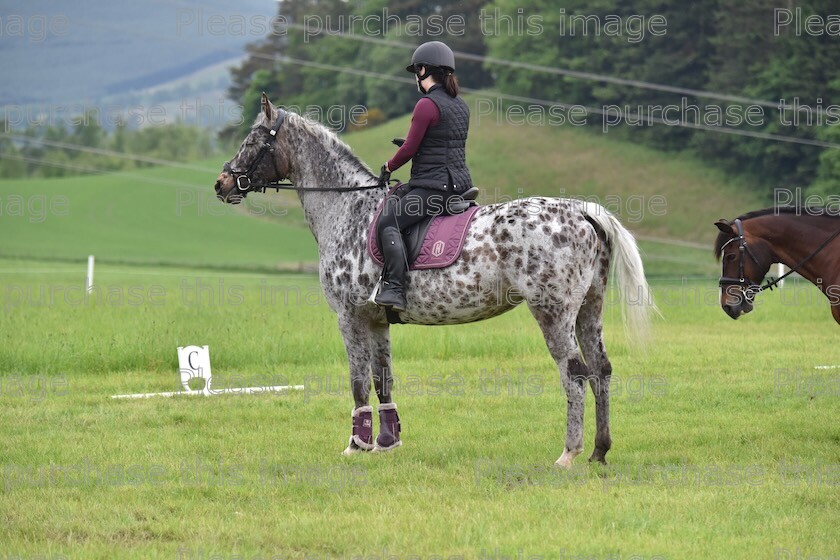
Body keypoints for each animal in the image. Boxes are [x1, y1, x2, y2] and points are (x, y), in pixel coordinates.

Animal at [215, 94, 656, 466]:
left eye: (253, 140)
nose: (222, 184)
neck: (347, 209)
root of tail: (581, 211)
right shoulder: (377, 320)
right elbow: (383, 379)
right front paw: (387, 443)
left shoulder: (349, 317)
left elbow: (357, 381)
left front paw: (356, 445)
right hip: (588, 310)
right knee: (600, 369)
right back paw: (599, 452)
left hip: (552, 312)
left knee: (575, 373)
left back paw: (569, 453)